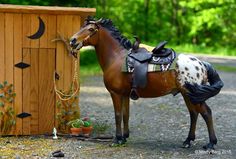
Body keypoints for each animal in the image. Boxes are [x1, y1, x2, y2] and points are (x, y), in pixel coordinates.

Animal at [69, 17, 223, 149]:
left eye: (90, 29)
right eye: (82, 27)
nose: (72, 40)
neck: (116, 58)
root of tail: (201, 64)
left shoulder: (116, 94)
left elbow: (118, 115)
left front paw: (117, 140)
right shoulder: (125, 94)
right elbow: (125, 115)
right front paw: (124, 138)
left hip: (191, 94)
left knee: (206, 113)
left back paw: (211, 143)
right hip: (187, 95)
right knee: (194, 114)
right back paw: (188, 141)